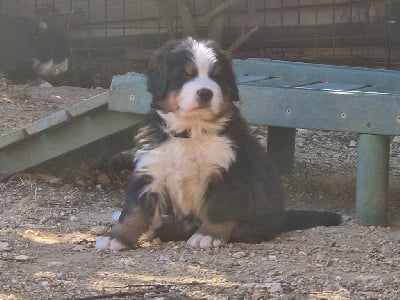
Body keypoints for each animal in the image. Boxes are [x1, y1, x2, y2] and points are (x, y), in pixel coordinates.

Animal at [96, 37, 340, 251]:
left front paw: (208, 235)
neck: (192, 133)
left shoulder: (226, 171)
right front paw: (115, 237)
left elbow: (218, 208)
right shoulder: (152, 171)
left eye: (216, 77)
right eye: (185, 76)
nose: (205, 92)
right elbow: (134, 211)